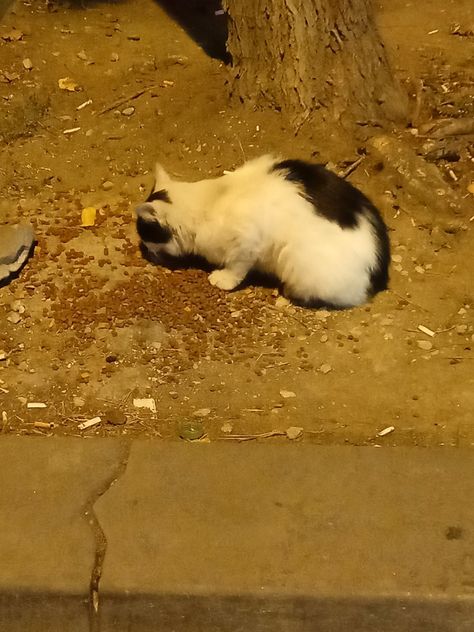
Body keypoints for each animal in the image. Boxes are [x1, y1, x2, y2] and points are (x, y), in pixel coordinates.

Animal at [135, 156, 390, 308]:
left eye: (147, 238)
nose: (146, 253)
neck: (211, 199)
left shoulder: (246, 244)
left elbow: (236, 268)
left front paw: (223, 279)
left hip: (297, 260)